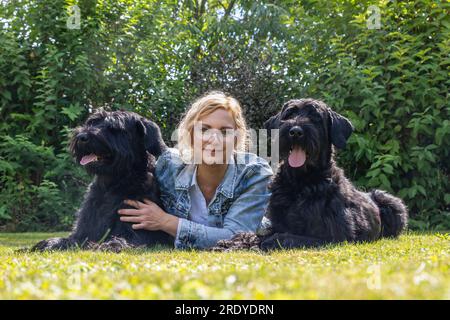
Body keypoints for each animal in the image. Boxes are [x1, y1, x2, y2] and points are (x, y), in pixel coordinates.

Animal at [31, 110, 172, 252]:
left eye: (114, 128)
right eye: (92, 122)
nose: (82, 137)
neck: (111, 185)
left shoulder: (140, 227)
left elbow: (123, 239)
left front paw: (109, 245)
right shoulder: (84, 229)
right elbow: (70, 239)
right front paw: (49, 243)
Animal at [256, 99, 408, 251]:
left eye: (316, 117)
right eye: (289, 114)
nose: (295, 132)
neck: (299, 182)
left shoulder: (334, 237)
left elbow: (291, 238)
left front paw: (271, 241)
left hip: (392, 203)